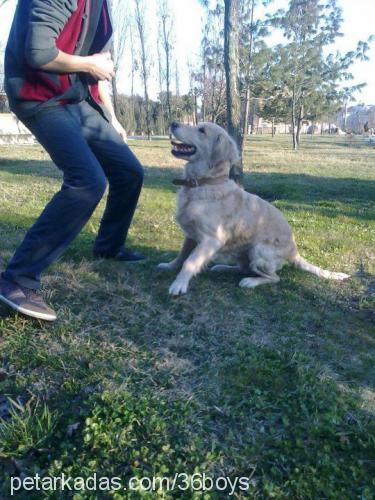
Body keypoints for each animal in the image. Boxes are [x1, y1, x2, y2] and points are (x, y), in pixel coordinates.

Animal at [158, 121, 350, 294]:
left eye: (202, 130)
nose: (173, 123)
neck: (204, 183)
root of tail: (294, 251)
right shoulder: (190, 235)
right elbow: (182, 255)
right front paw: (169, 266)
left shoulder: (211, 239)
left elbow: (190, 262)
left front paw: (179, 284)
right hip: (243, 253)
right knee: (244, 268)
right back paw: (223, 267)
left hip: (258, 251)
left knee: (274, 277)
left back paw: (250, 281)